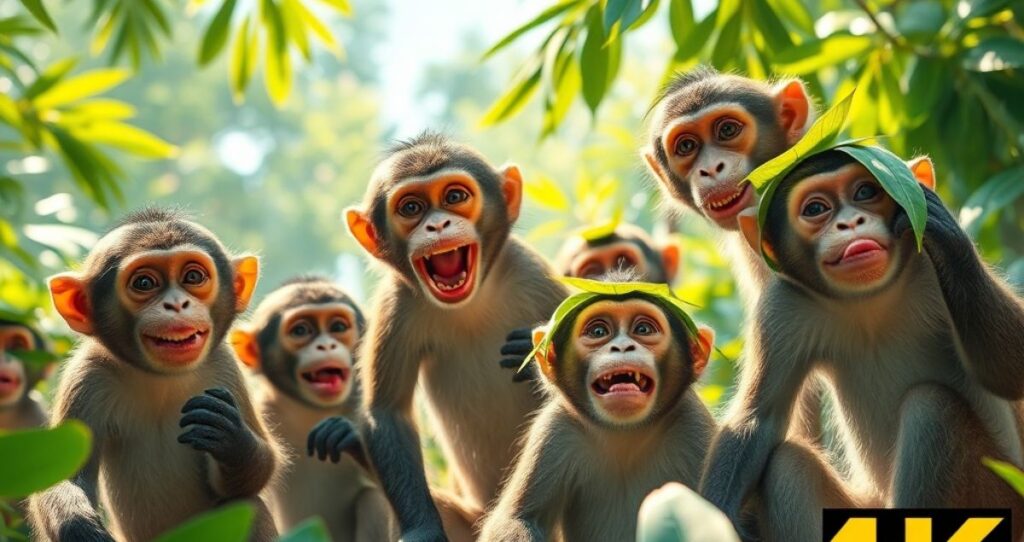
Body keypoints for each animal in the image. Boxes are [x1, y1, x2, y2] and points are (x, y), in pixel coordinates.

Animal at [28, 208, 282, 542]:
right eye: (145, 282)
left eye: (193, 277)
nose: (176, 304)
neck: (160, 379)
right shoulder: (87, 377)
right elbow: (62, 473)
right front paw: (81, 529)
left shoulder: (225, 369)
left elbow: (259, 470)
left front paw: (232, 439)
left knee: (248, 505)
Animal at [230, 276, 393, 542]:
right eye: (301, 331)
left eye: (338, 327)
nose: (326, 346)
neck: (312, 411)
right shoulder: (262, 409)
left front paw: (350, 437)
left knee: (373, 499)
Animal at [344, 132, 568, 541]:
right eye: (411, 207)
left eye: (455, 196)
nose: (437, 225)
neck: (471, 301)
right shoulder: (398, 303)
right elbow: (389, 411)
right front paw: (423, 529)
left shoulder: (537, 280)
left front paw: (528, 354)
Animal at [479, 282, 716, 542]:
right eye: (598, 332)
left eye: (643, 329)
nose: (622, 347)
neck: (625, 433)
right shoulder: (556, 430)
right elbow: (516, 519)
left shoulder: (693, 426)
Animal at [701, 150, 1024, 540]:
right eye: (815, 208)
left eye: (866, 191)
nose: (851, 223)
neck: (869, 301)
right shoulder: (783, 307)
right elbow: (759, 418)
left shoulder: (927, 270)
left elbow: (1008, 371)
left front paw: (939, 221)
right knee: (787, 465)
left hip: (1002, 499)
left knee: (931, 409)